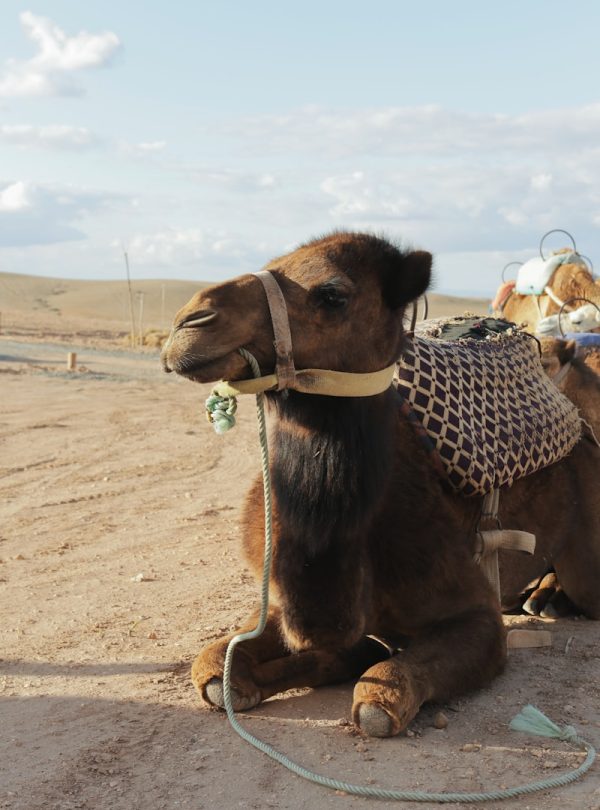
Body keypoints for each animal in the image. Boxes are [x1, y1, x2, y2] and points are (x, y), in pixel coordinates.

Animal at [162, 232, 600, 738]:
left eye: (333, 293)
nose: (190, 322)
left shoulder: (476, 617)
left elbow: (381, 691)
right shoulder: (278, 603)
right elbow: (216, 665)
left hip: (585, 562)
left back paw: (548, 598)